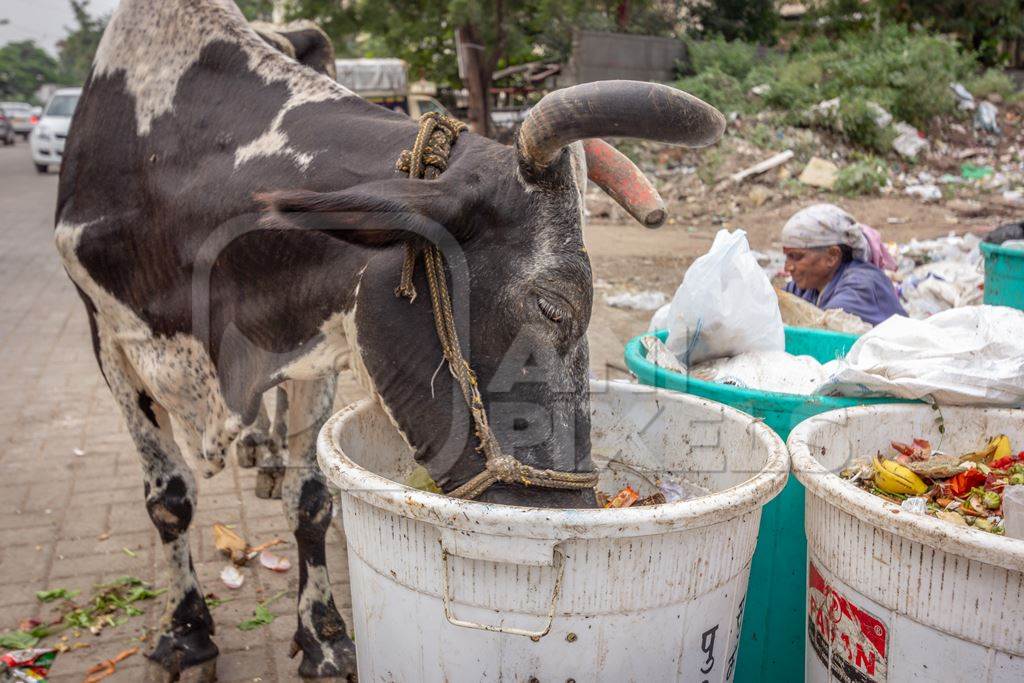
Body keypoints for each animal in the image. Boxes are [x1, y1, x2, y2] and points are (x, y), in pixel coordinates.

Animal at [56, 0, 724, 679]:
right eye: (553, 305)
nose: (571, 514)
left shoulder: (314, 345)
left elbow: (309, 497)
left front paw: (323, 636)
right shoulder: (109, 341)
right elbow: (170, 499)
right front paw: (186, 635)